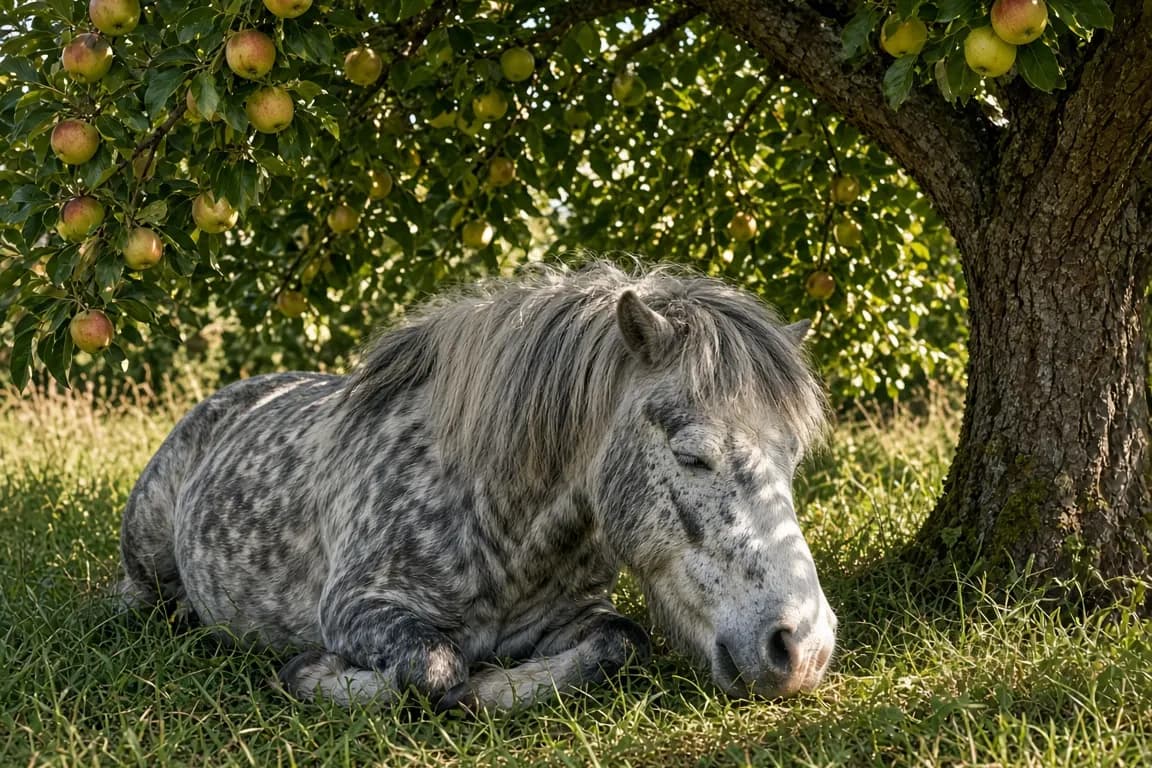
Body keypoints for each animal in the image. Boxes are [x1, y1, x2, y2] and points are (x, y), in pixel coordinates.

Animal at [117, 262, 838, 711]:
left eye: (793, 459)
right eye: (692, 456)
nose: (802, 649)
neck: (492, 519)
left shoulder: (578, 617)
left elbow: (622, 642)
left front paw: (496, 691)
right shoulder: (358, 609)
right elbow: (435, 665)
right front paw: (312, 674)